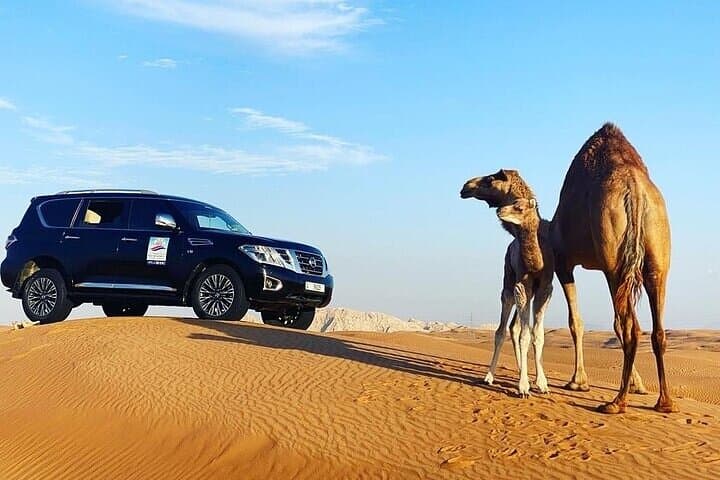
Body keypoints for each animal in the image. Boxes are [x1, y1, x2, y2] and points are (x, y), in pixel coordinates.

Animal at [551, 123, 676, 414]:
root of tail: (636, 189)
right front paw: (637, 384)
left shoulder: (562, 260)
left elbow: (576, 320)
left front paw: (578, 382)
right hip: (657, 254)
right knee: (656, 328)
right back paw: (664, 402)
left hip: (614, 261)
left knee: (629, 327)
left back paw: (617, 402)